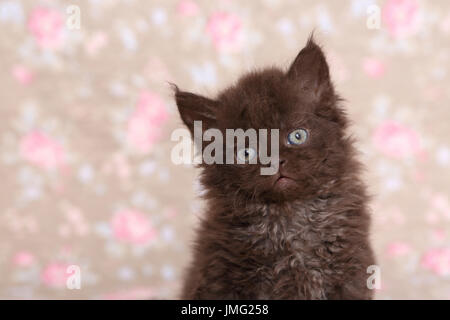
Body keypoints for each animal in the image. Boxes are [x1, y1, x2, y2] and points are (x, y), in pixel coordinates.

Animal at [174, 37, 374, 300]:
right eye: (246, 152)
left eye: (297, 136)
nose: (275, 162)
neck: (290, 218)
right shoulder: (220, 274)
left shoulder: (351, 270)